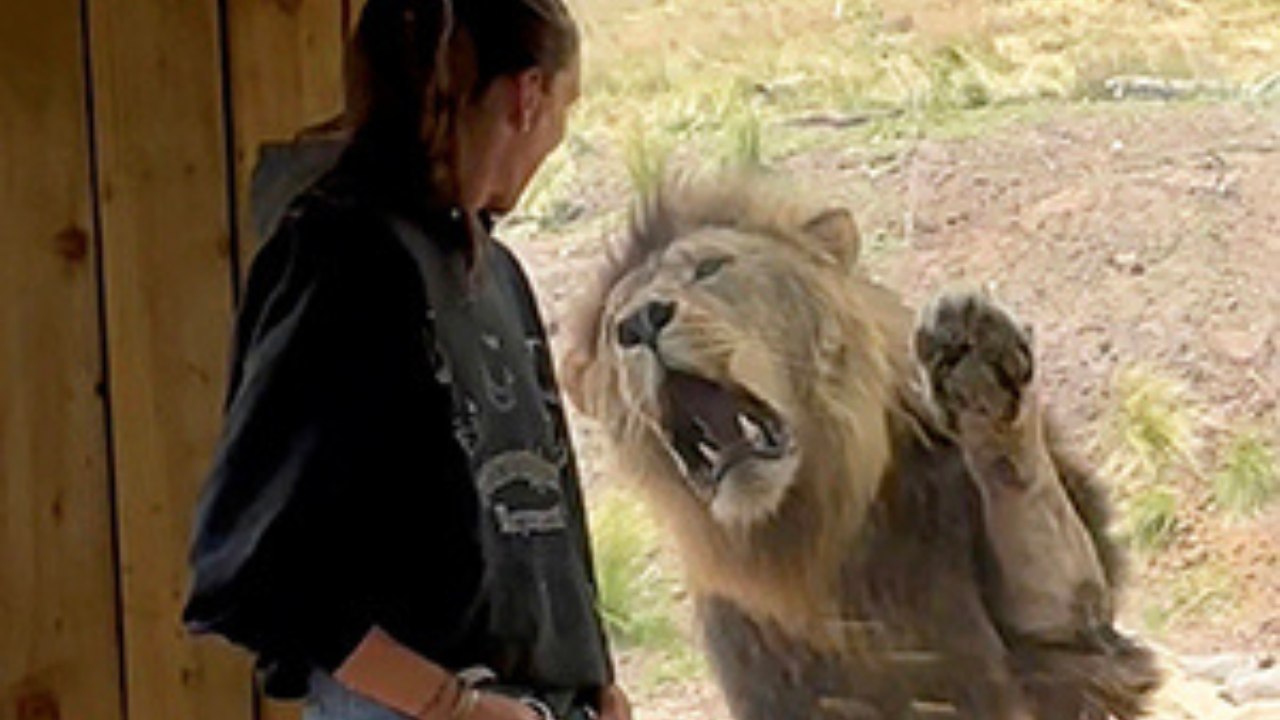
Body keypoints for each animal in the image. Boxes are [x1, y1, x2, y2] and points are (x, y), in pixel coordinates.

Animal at [561, 173, 1161, 720]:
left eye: (709, 268)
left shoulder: (1060, 642)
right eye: (614, 324)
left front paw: (978, 369)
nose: (639, 322)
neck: (815, 534)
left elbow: (1030, 511)